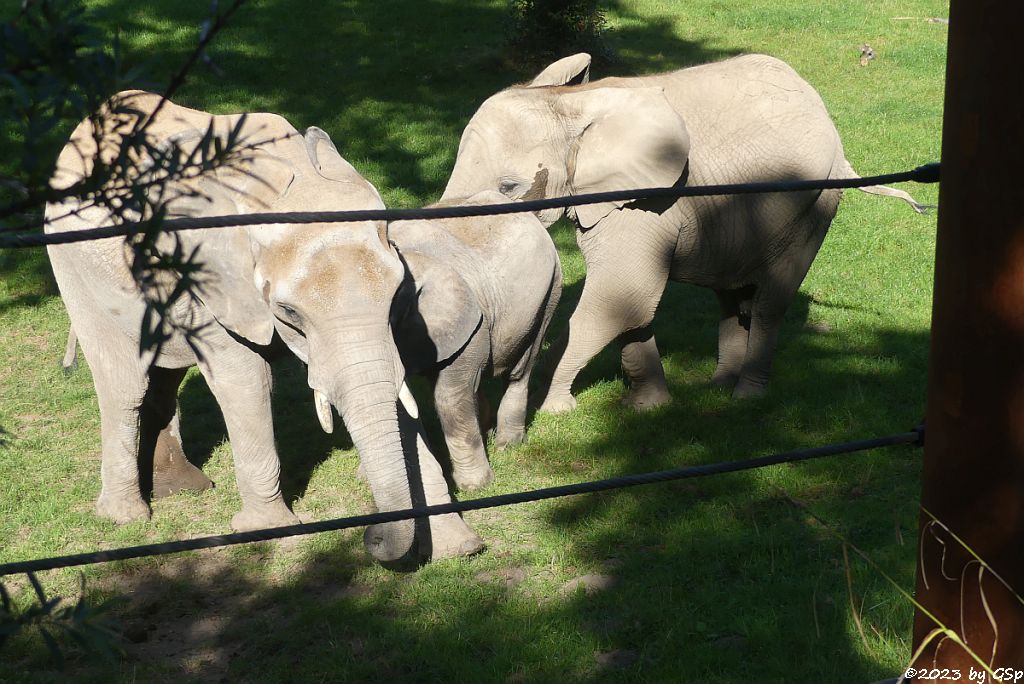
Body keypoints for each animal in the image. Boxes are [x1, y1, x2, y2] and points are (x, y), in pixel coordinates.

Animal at [44, 90, 483, 561]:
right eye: (288, 312)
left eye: (399, 292)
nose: (372, 538)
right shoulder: (212, 278)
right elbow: (246, 379)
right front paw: (272, 531)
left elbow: (390, 388)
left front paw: (459, 547)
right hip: (73, 265)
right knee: (125, 385)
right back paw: (126, 516)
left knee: (165, 375)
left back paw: (183, 488)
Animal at [387, 191, 561, 491]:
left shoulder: (469, 324)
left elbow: (450, 397)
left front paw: (476, 487)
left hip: (549, 291)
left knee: (521, 368)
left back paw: (508, 445)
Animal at [440, 53, 929, 409]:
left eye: (509, 187)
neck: (571, 101)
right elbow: (633, 305)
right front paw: (650, 408)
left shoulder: (648, 200)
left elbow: (619, 296)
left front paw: (552, 407)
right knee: (731, 298)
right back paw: (716, 387)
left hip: (814, 202)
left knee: (770, 300)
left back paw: (746, 397)